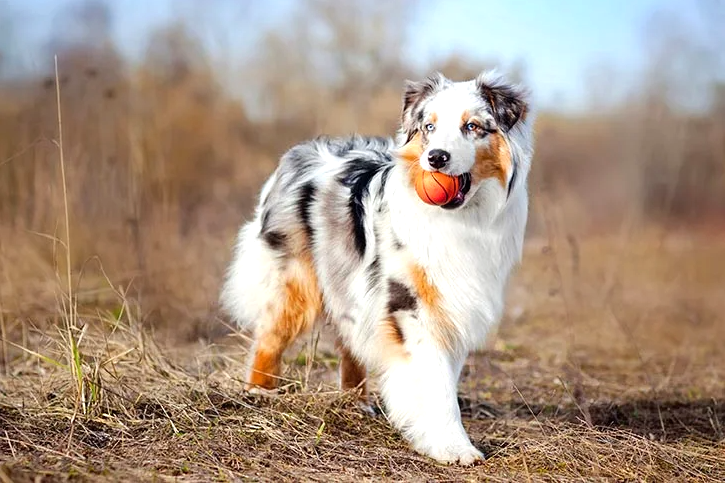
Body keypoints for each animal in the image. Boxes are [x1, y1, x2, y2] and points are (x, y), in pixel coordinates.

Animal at [218, 68, 536, 466]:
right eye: (429, 127)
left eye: (473, 126)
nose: (436, 158)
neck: (461, 219)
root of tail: (297, 154)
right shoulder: (410, 305)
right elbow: (436, 384)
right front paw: (453, 447)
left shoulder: (452, 305)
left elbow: (443, 378)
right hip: (296, 281)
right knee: (270, 336)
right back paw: (259, 392)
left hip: (349, 284)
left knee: (349, 340)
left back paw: (356, 402)